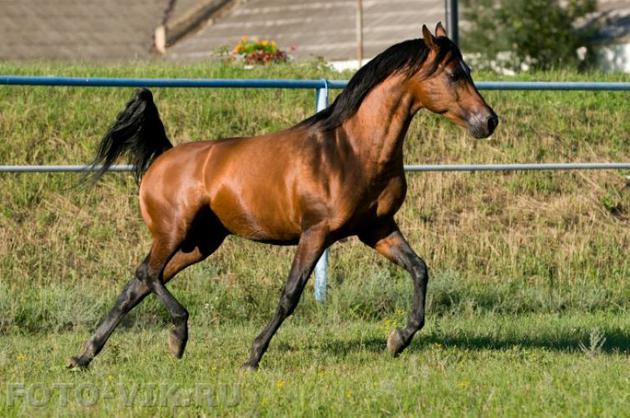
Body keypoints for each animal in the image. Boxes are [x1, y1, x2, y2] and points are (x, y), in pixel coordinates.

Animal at [68, 22, 498, 370]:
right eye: (454, 74)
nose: (489, 121)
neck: (351, 151)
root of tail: (164, 157)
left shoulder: (377, 228)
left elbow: (420, 269)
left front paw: (399, 339)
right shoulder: (315, 233)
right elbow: (290, 295)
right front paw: (252, 356)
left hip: (200, 243)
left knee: (136, 284)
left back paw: (84, 356)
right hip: (172, 233)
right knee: (148, 274)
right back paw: (177, 335)